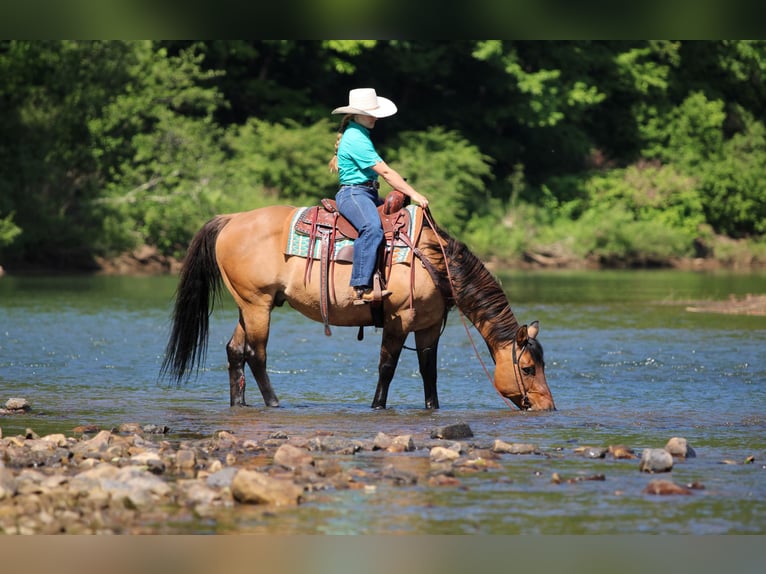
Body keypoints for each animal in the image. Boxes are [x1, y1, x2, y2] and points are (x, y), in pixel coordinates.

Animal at [160, 202, 555, 412]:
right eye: (527, 367)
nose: (547, 407)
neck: (434, 260)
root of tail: (231, 219)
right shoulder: (399, 320)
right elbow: (387, 367)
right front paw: (377, 405)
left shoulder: (428, 327)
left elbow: (428, 370)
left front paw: (433, 408)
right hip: (257, 305)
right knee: (256, 354)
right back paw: (274, 402)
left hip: (251, 304)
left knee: (235, 351)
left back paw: (239, 404)